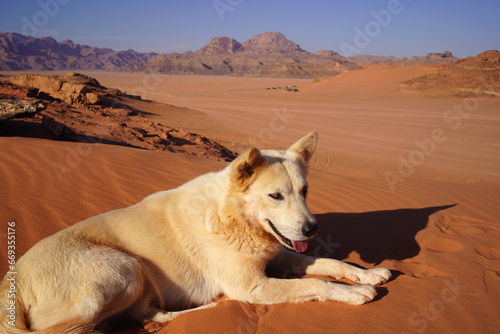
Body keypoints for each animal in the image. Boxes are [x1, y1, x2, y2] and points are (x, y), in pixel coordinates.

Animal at [0, 132, 390, 332]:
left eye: (305, 191)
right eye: (275, 196)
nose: (312, 227)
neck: (232, 217)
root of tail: (12, 281)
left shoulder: (278, 254)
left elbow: (329, 263)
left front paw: (367, 274)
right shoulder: (253, 287)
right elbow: (317, 283)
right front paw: (354, 293)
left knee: (145, 315)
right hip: (125, 268)